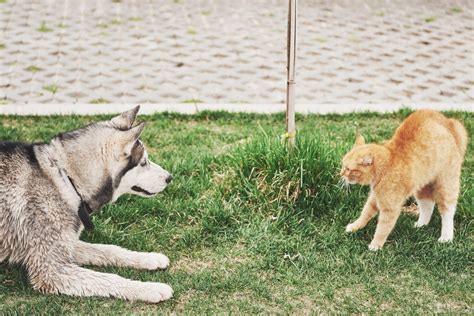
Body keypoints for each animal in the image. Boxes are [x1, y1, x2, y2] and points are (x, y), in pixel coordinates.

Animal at [0, 107, 174, 304]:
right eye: (144, 163)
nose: (170, 177)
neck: (67, 180)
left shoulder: (67, 243)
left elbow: (109, 250)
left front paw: (148, 258)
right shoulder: (51, 270)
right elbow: (109, 279)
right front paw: (150, 288)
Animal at [340, 110, 466, 251]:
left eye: (348, 169)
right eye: (342, 165)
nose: (340, 174)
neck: (387, 164)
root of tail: (449, 122)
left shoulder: (390, 208)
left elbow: (382, 228)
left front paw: (375, 245)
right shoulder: (374, 199)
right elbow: (365, 213)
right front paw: (355, 226)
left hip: (446, 185)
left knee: (447, 211)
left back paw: (446, 238)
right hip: (423, 186)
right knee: (427, 205)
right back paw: (421, 224)